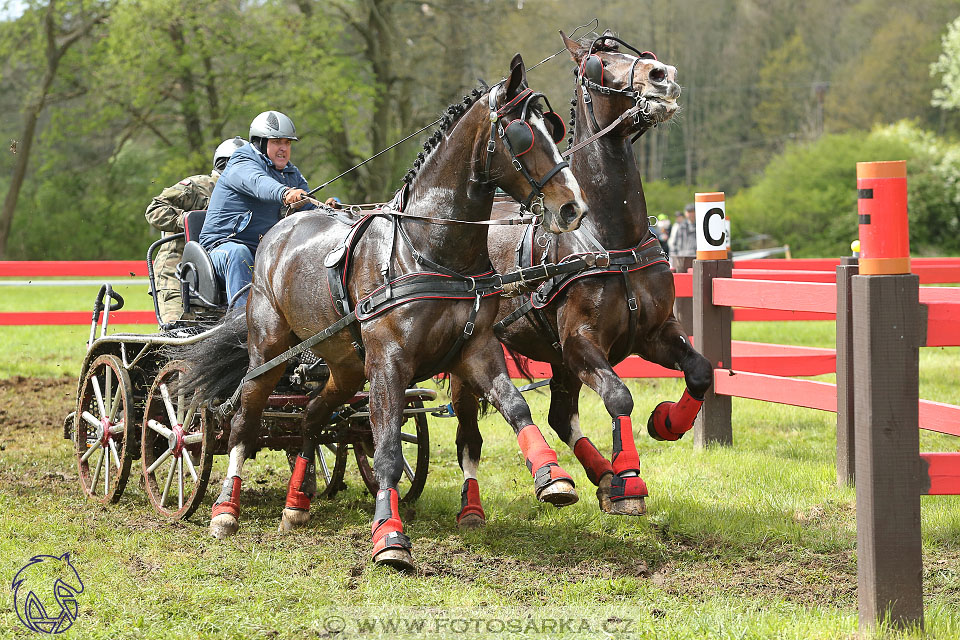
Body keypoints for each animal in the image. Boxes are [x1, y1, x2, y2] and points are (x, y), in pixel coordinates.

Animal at [176, 52, 588, 568]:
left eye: (552, 126)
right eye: (522, 134)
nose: (572, 207)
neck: (429, 249)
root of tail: (278, 233)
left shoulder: (474, 348)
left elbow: (515, 407)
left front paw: (553, 477)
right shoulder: (390, 362)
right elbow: (388, 447)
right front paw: (389, 536)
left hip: (346, 366)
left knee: (312, 416)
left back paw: (296, 504)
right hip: (268, 351)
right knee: (245, 422)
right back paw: (224, 510)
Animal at [450, 32, 712, 528]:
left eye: (641, 55)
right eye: (597, 63)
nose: (662, 76)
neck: (610, 240)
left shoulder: (654, 333)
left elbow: (701, 372)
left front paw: (667, 422)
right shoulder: (580, 343)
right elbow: (618, 394)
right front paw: (629, 477)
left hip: (554, 358)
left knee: (559, 416)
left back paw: (600, 475)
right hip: (467, 358)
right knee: (469, 435)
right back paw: (474, 506)